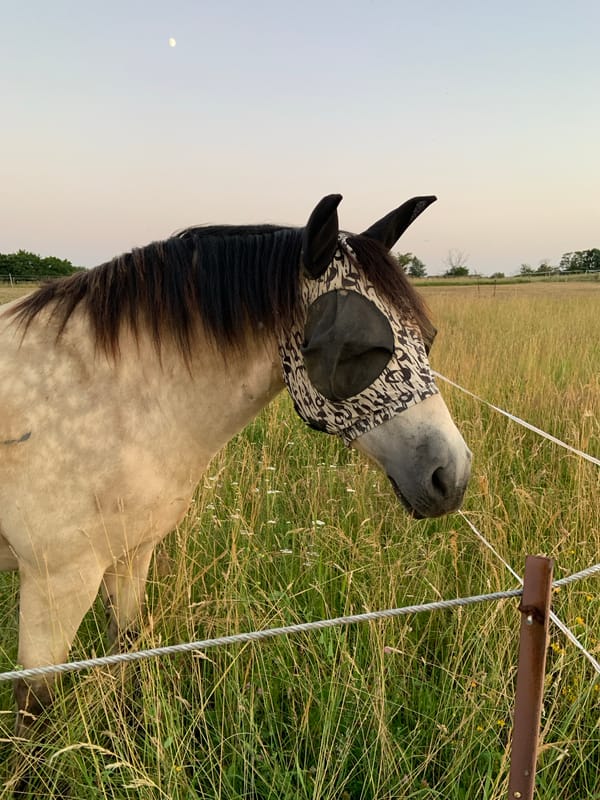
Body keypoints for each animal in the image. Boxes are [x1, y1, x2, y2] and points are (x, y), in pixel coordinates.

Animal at [0, 194, 471, 736]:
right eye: (356, 348)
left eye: (428, 337)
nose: (451, 475)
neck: (109, 400)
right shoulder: (57, 582)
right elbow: (34, 710)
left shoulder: (131, 556)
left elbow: (126, 649)